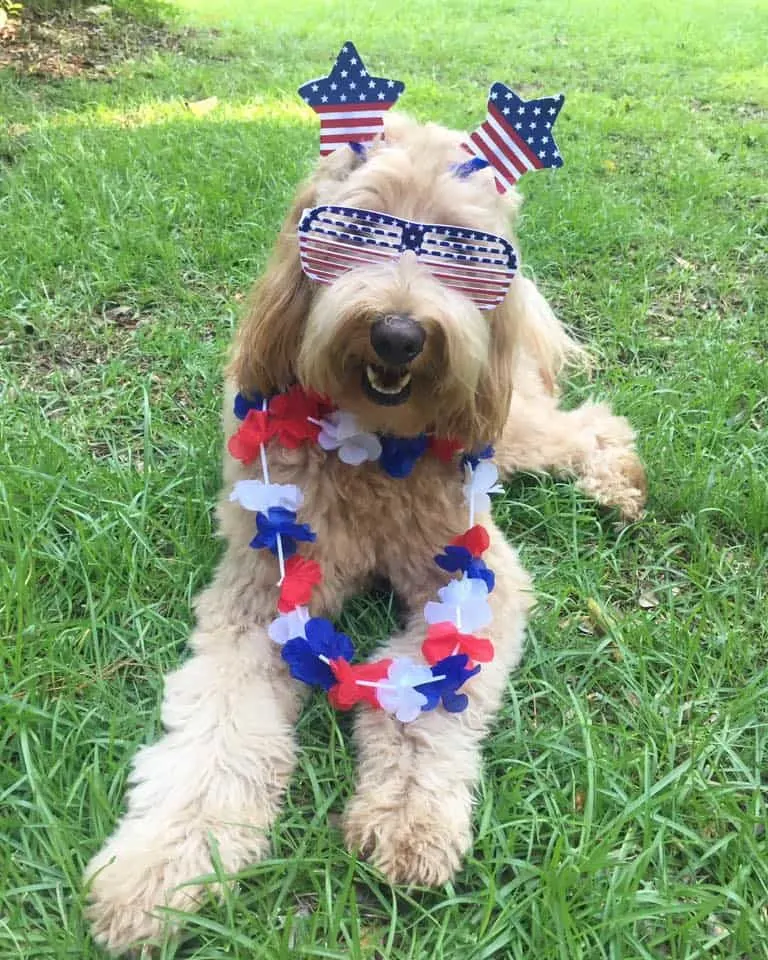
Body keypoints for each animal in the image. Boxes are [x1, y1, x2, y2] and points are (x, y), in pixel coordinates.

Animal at [85, 107, 648, 952]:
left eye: (460, 251)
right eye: (355, 230)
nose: (398, 335)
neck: (375, 448)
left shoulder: (480, 579)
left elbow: (425, 695)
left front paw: (409, 818)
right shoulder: (260, 594)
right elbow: (216, 733)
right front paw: (161, 871)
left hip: (507, 430)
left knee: (589, 423)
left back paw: (618, 483)